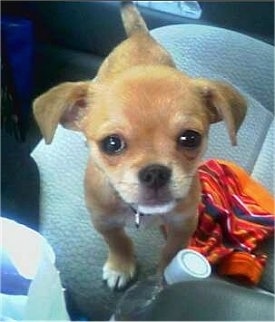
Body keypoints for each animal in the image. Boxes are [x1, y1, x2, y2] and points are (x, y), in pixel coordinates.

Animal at [33, 1, 248, 290]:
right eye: (112, 143)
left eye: (190, 138)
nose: (155, 173)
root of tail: (139, 37)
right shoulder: (104, 222)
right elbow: (119, 242)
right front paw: (121, 266)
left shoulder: (183, 223)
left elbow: (171, 251)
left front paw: (166, 275)